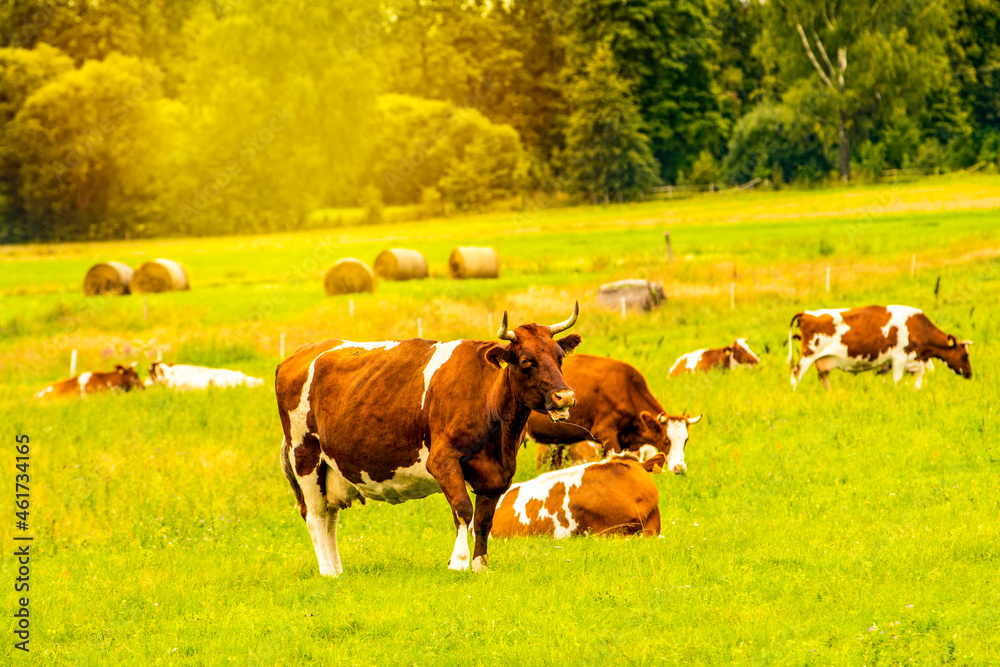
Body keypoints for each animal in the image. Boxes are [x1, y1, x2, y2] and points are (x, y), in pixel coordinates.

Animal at [275, 304, 582, 576]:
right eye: (527, 361)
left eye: (559, 357)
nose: (565, 396)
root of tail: (302, 351)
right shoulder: (443, 461)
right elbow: (463, 510)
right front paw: (458, 562)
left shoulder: (498, 473)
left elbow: (483, 521)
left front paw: (480, 565)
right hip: (305, 455)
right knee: (315, 516)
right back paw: (327, 572)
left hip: (330, 469)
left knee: (330, 516)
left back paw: (338, 570)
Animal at [788, 305, 972, 390]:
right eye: (964, 355)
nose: (970, 374)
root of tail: (806, 313)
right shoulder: (899, 357)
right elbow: (897, 379)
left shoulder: (914, 359)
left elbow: (921, 373)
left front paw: (916, 388)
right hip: (807, 356)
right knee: (795, 375)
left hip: (823, 363)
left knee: (824, 380)